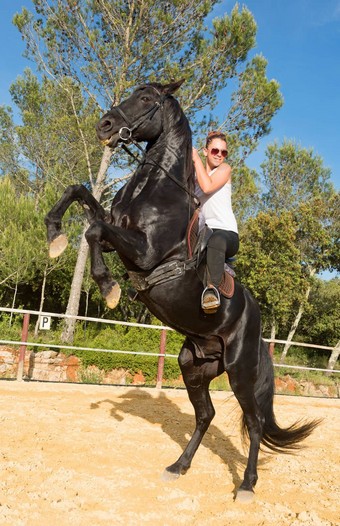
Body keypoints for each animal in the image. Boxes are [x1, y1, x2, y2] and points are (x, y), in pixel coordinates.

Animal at [45, 81, 318, 504]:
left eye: (145, 99)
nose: (105, 125)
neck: (154, 190)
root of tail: (256, 325)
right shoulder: (115, 233)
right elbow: (80, 196)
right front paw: (55, 235)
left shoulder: (142, 252)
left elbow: (93, 231)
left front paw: (108, 287)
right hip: (193, 365)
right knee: (206, 415)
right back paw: (179, 466)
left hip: (240, 371)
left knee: (254, 421)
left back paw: (247, 485)